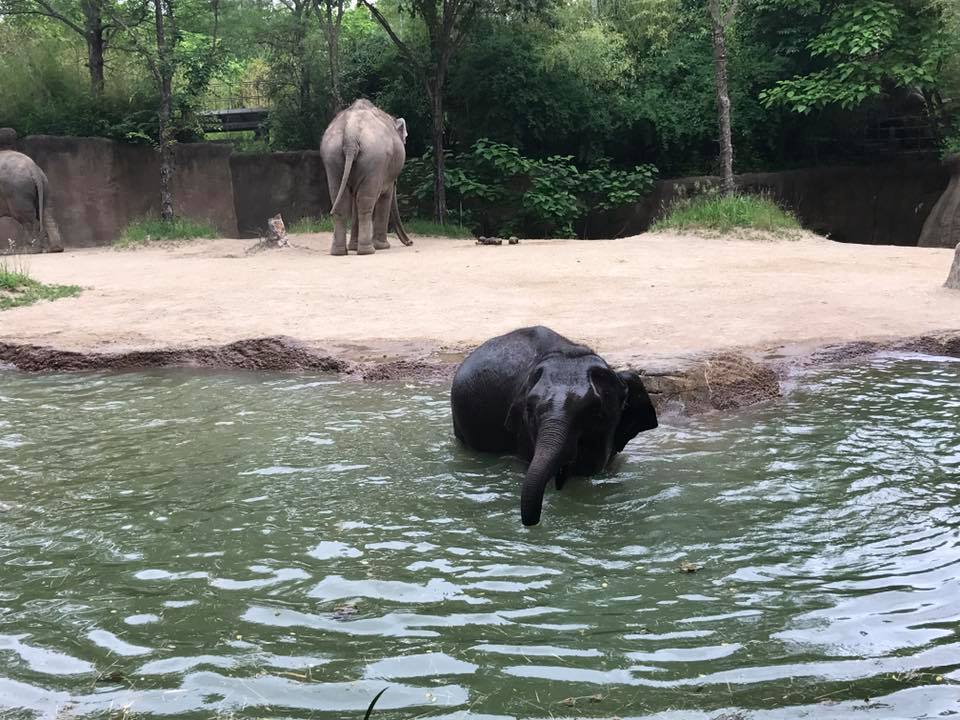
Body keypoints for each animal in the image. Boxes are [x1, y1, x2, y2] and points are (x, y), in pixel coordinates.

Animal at [320, 100, 412, 256]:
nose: (410, 242)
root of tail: (351, 134)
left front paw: (353, 247)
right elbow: (385, 197)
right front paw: (383, 246)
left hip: (332, 157)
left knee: (341, 200)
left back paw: (340, 252)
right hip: (374, 158)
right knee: (365, 201)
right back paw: (367, 250)